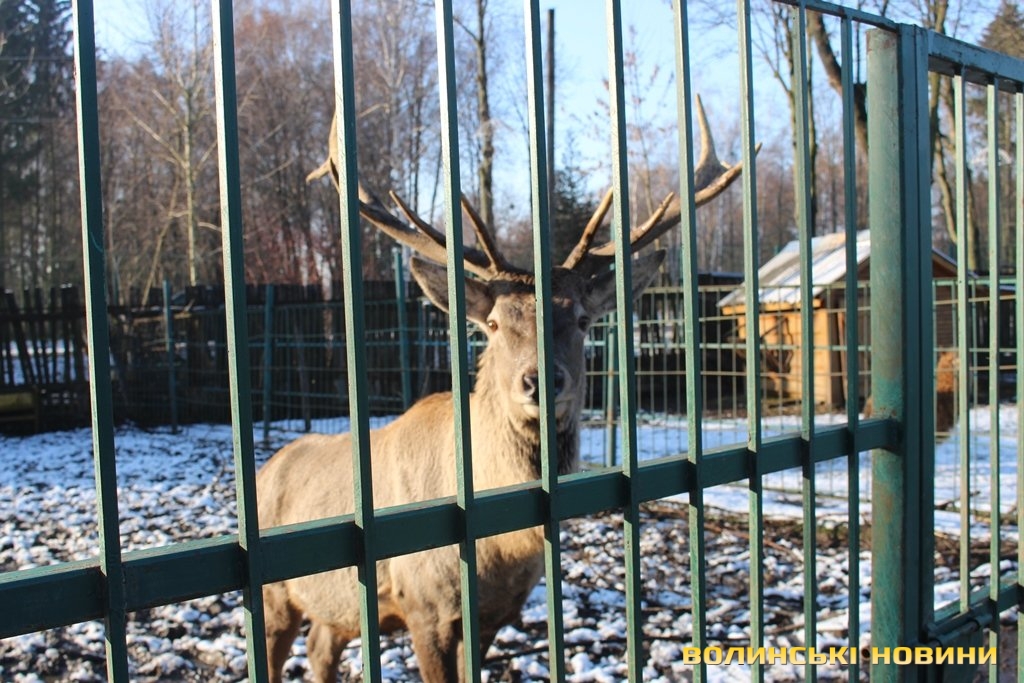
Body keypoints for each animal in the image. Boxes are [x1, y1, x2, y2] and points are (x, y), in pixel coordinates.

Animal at [257, 97, 747, 682]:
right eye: (491, 323)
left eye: (582, 320)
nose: (541, 381)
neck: (499, 548)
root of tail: (265, 471)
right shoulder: (424, 605)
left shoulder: (494, 615)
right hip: (273, 597)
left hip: (338, 608)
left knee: (320, 648)